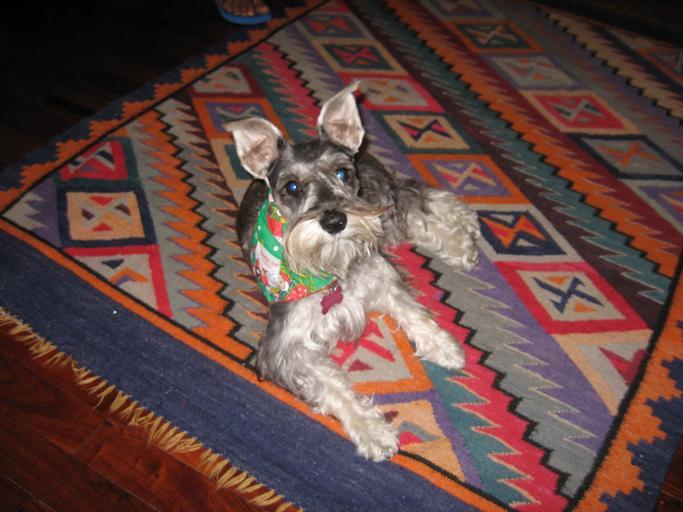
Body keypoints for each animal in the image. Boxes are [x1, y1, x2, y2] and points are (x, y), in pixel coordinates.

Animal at [225, 82, 480, 461]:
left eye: (342, 173)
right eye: (292, 187)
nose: (335, 220)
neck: (331, 269)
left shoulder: (382, 277)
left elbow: (414, 313)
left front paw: (444, 346)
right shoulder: (283, 350)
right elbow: (332, 386)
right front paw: (373, 431)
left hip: (380, 204)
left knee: (415, 203)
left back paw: (461, 237)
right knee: (416, 208)